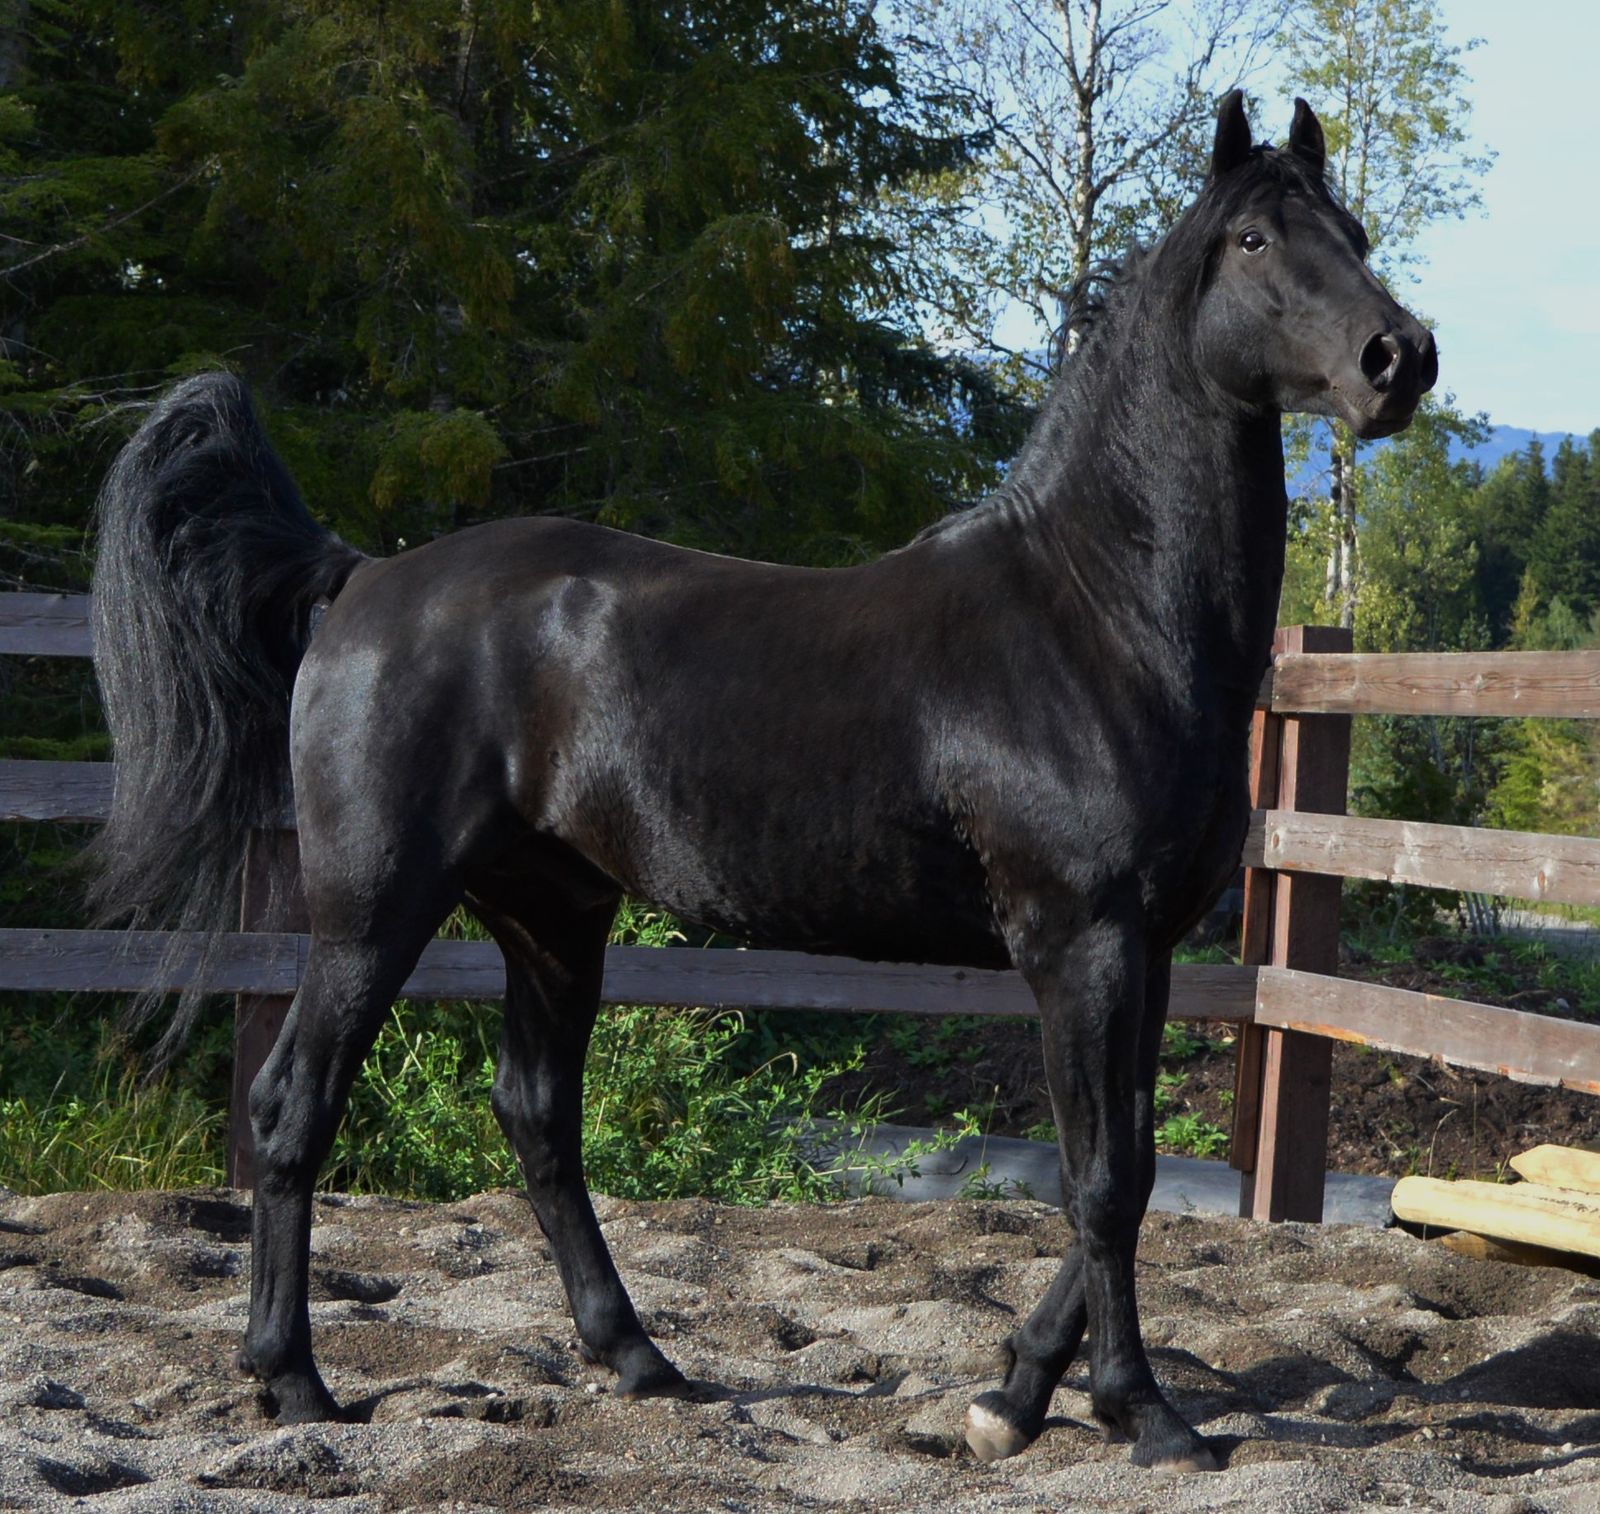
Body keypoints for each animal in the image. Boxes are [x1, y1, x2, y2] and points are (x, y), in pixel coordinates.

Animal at [88, 91, 1434, 1472]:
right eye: (1258, 240)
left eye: (1356, 232)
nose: (1400, 358)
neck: (1096, 611)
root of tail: (359, 577)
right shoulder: (1081, 939)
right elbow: (1100, 1179)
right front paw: (1142, 1411)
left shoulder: (1145, 946)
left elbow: (1138, 1167)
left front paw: (1009, 1395)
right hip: (373, 911)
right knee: (293, 1107)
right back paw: (295, 1382)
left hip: (552, 912)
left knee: (536, 1117)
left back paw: (638, 1358)